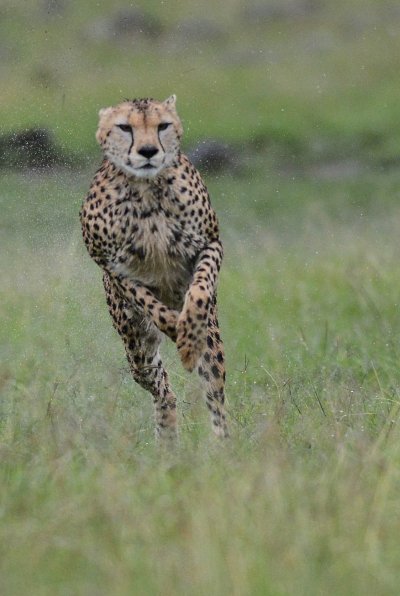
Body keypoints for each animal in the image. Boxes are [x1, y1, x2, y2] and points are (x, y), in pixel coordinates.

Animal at [79, 94, 228, 438]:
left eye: (163, 125)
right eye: (125, 127)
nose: (148, 151)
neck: (148, 190)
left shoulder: (210, 244)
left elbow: (200, 289)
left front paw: (188, 334)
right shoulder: (114, 268)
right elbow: (152, 304)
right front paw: (176, 327)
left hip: (211, 345)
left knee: (214, 393)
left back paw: (226, 442)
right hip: (137, 347)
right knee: (161, 387)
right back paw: (167, 431)